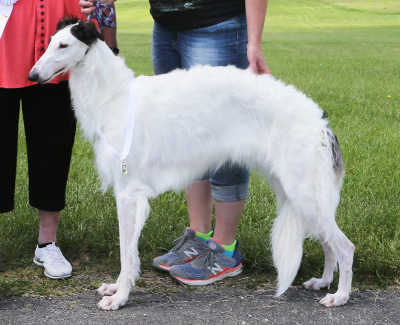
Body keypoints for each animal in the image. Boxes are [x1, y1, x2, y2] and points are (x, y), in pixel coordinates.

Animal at [28, 19, 354, 310]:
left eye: (63, 45)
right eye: (49, 42)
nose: (32, 75)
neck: (114, 96)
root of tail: (321, 122)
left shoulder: (129, 193)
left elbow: (126, 253)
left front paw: (120, 297)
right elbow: (127, 253)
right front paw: (116, 288)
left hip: (303, 192)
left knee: (344, 246)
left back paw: (340, 295)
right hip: (298, 193)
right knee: (328, 242)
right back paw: (324, 282)